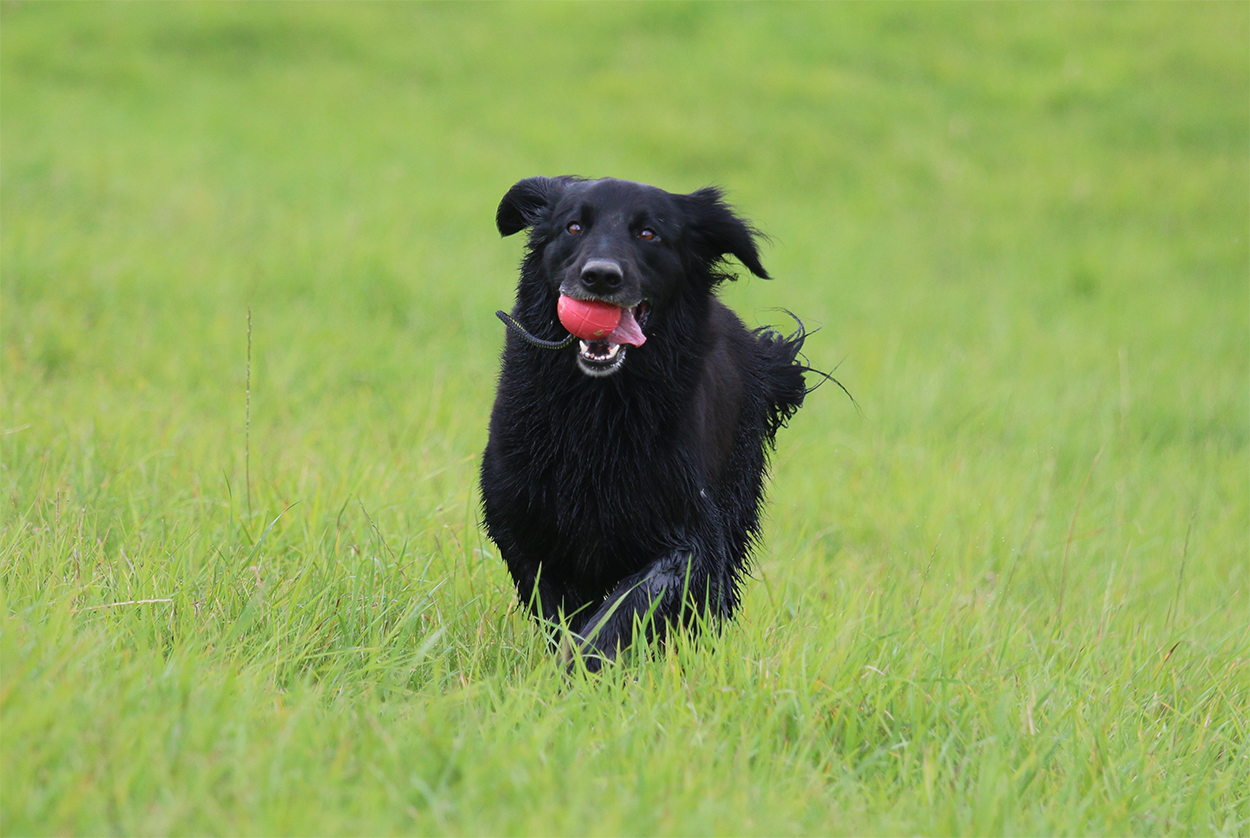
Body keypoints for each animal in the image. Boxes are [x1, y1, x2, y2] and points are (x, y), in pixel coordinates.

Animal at [481, 176, 813, 670]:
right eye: (573, 226)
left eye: (649, 233)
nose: (601, 276)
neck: (595, 410)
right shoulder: (524, 524)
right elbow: (562, 610)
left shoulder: (691, 534)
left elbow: (628, 604)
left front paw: (587, 664)